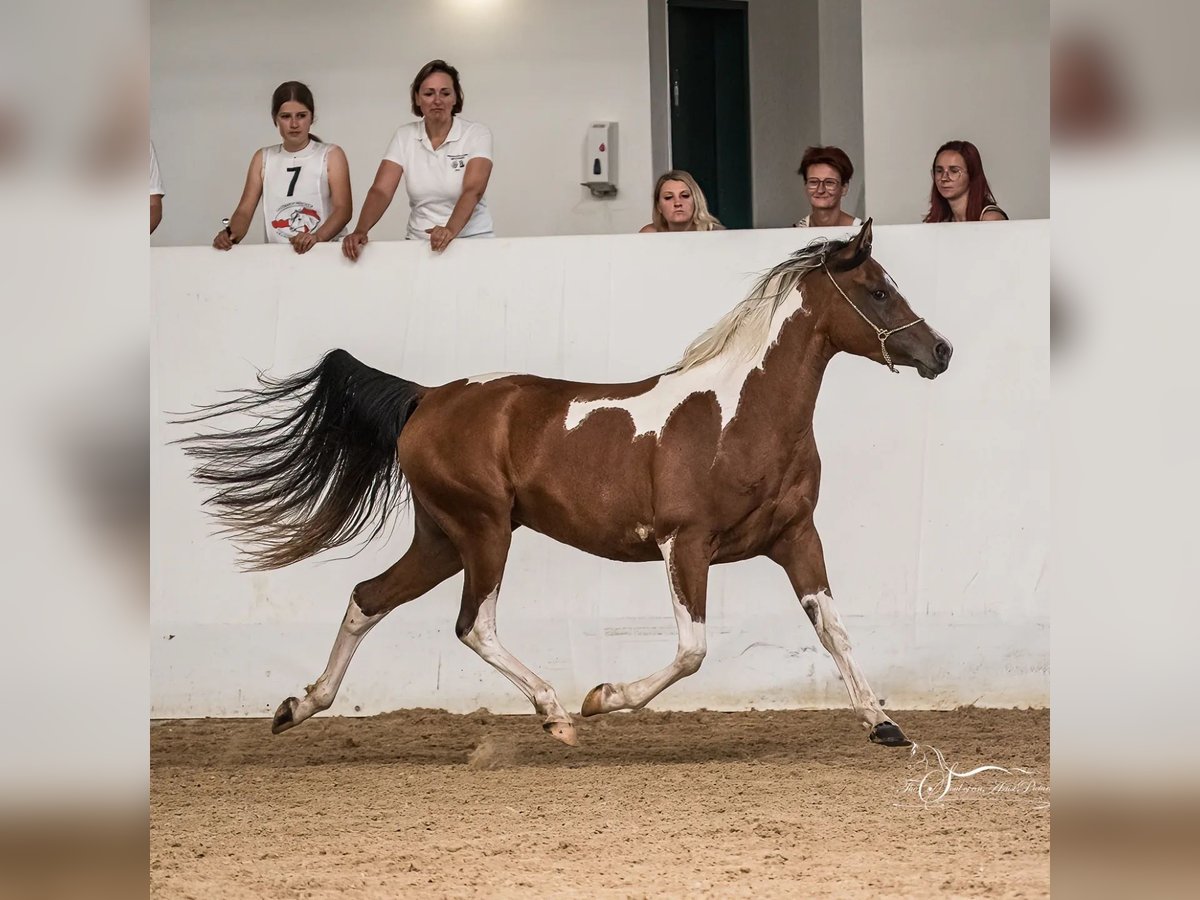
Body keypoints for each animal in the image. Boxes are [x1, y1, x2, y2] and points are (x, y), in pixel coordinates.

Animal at [177, 222, 950, 748]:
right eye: (878, 290)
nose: (940, 350)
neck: (741, 413)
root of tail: (427, 399)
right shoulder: (685, 544)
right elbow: (693, 650)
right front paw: (600, 698)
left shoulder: (795, 536)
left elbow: (833, 629)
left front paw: (884, 725)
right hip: (484, 531)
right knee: (474, 623)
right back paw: (554, 712)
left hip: (442, 538)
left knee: (368, 598)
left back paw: (298, 706)